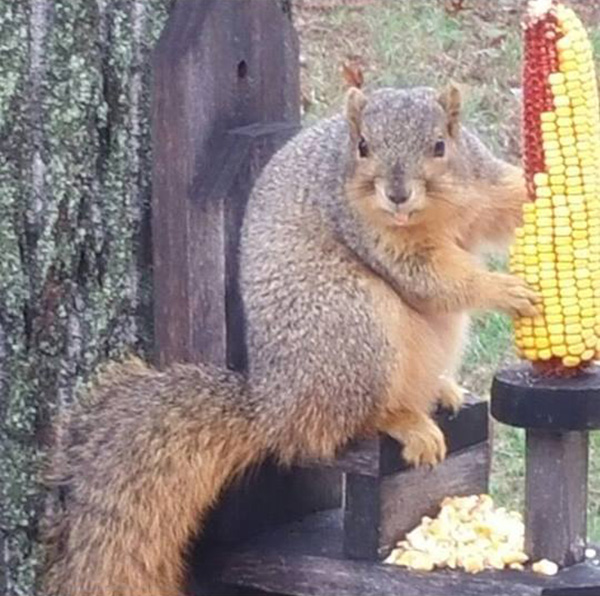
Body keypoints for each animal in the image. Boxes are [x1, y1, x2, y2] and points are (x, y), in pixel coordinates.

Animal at [43, 80, 540, 596]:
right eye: (363, 147)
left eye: (441, 145)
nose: (397, 195)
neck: (432, 211)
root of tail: (275, 407)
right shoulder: (371, 232)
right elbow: (432, 277)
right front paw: (503, 289)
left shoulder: (479, 183)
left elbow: (505, 200)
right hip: (355, 324)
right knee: (348, 422)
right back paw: (405, 421)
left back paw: (440, 390)